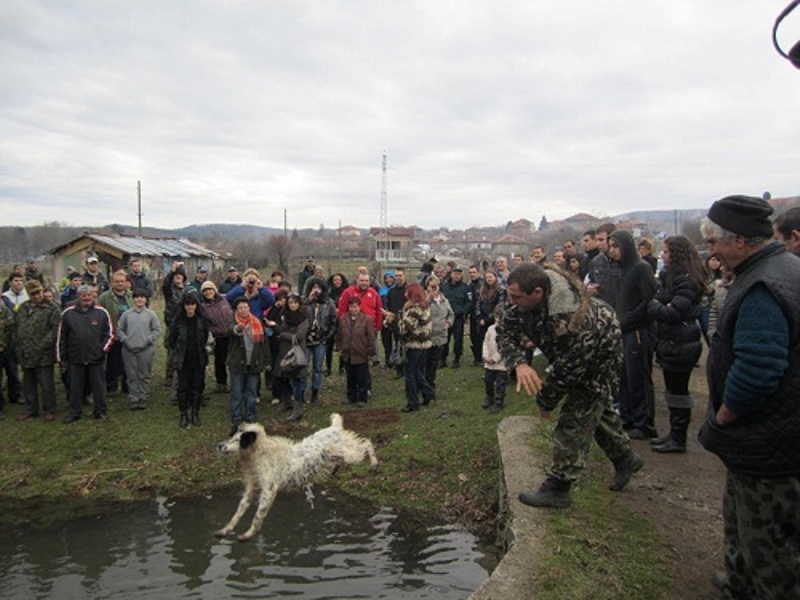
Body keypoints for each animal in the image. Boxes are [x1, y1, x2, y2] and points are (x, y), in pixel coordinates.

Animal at [216, 414, 378, 540]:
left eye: (237, 440)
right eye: (231, 437)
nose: (219, 445)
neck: (259, 454)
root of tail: (334, 428)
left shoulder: (269, 490)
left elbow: (258, 515)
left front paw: (248, 534)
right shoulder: (251, 489)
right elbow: (238, 512)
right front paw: (226, 529)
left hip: (351, 456)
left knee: (367, 443)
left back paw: (374, 462)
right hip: (341, 456)